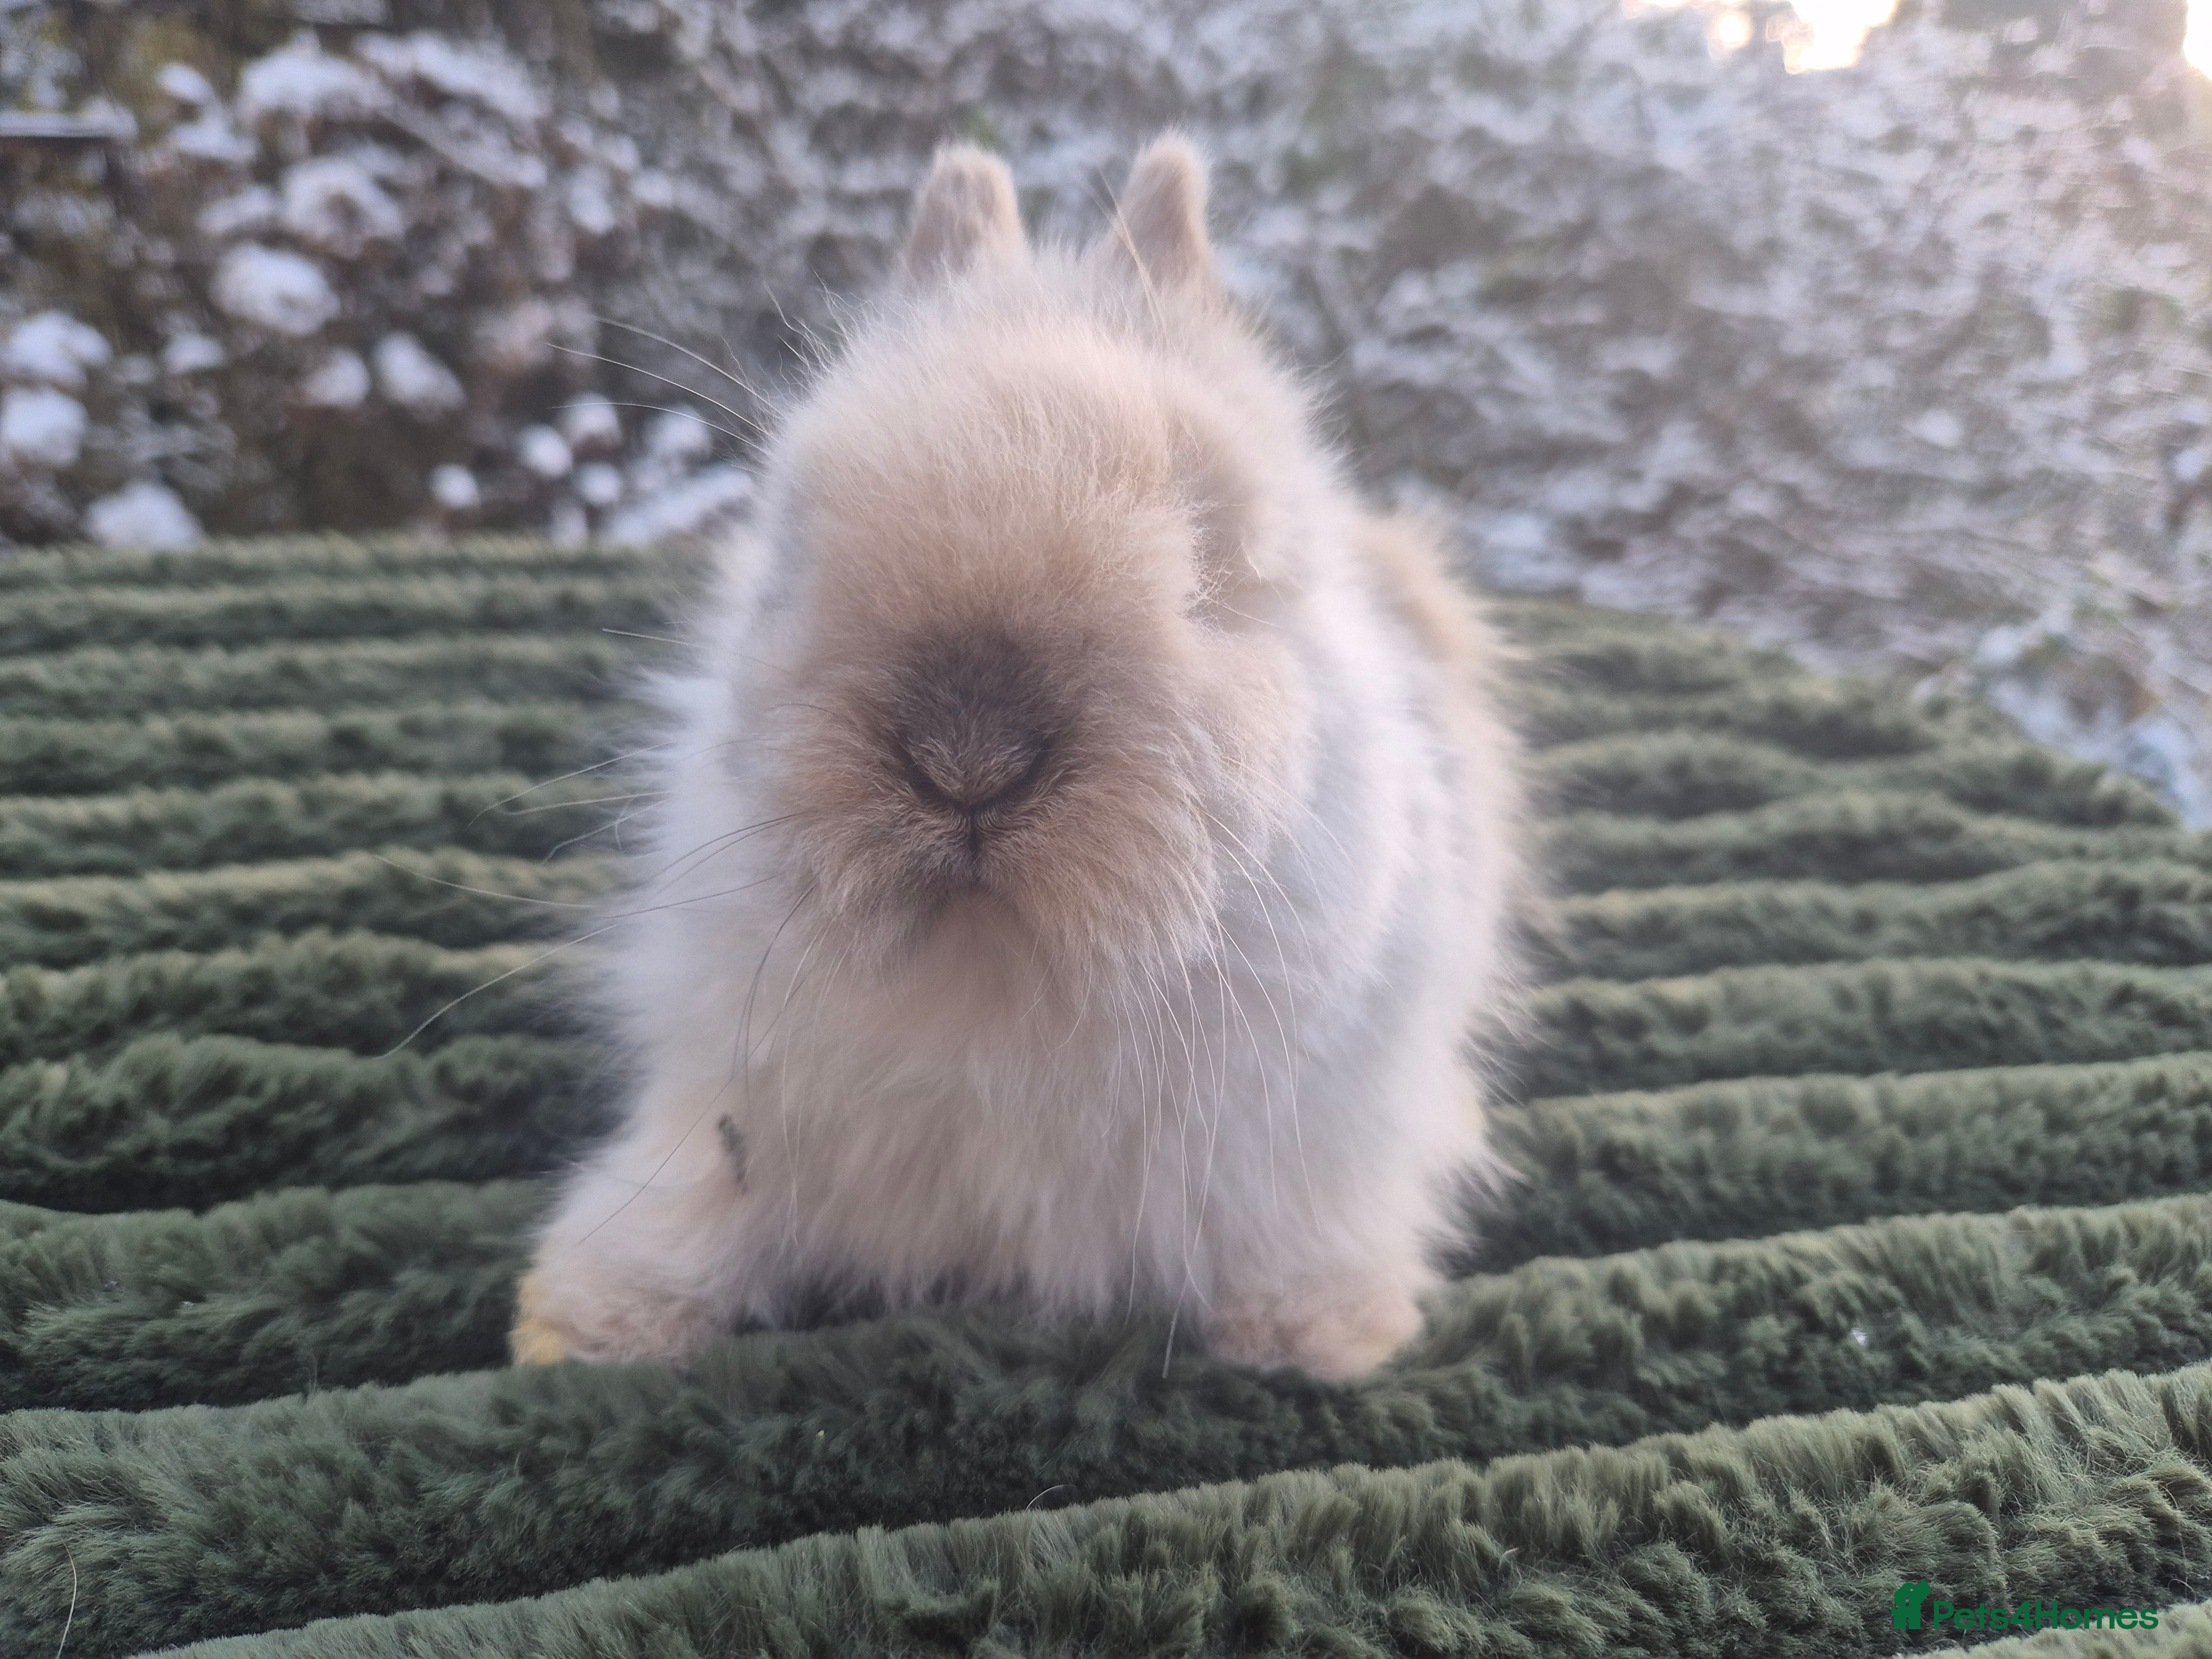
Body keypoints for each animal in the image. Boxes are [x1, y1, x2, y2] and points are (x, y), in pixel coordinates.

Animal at [509, 136, 1526, 1381]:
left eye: (1209, 556)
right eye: (793, 542)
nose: (969, 762)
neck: (996, 983)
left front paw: (1315, 1332)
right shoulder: (729, 1090)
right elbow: (701, 1191)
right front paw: (590, 1320)